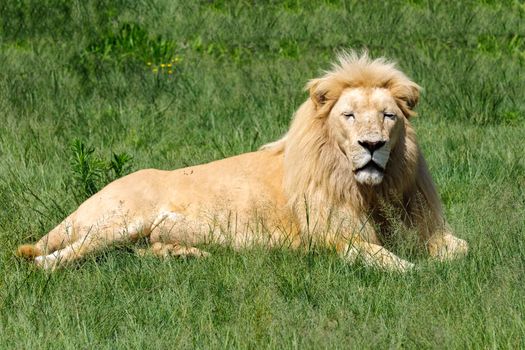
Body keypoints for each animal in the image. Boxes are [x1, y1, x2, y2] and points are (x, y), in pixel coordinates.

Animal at [17, 51, 466, 270]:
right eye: (349, 115)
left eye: (388, 116)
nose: (372, 144)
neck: (371, 190)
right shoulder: (334, 238)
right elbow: (391, 263)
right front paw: (421, 273)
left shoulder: (421, 225)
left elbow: (462, 249)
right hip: (119, 221)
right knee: (48, 261)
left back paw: (187, 256)